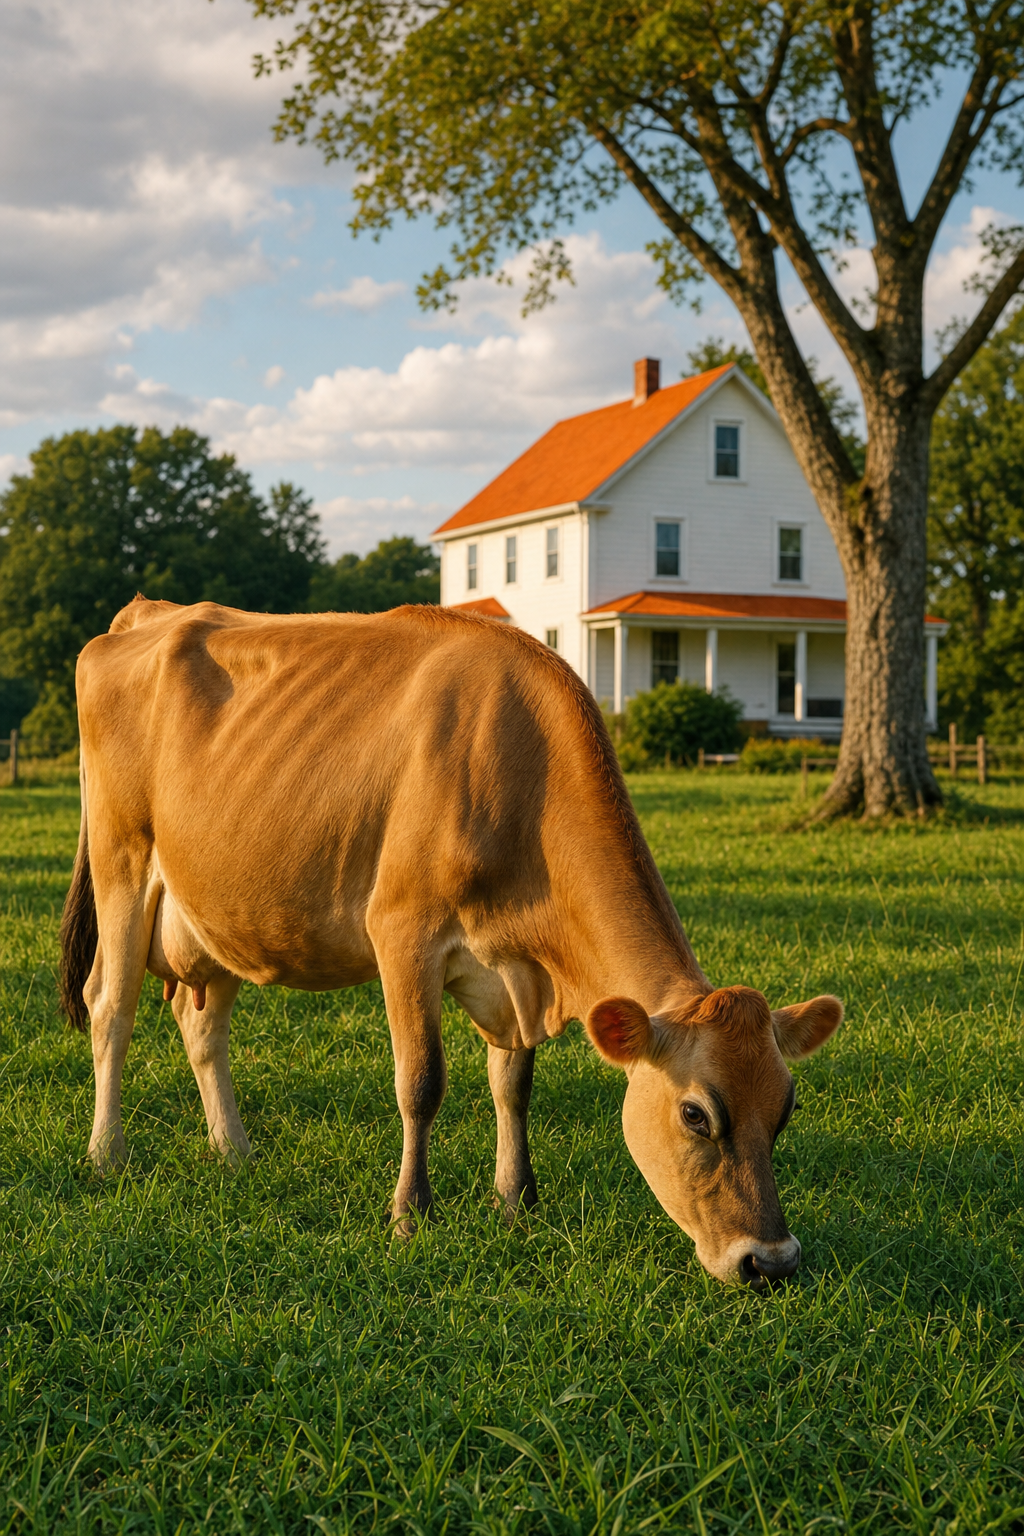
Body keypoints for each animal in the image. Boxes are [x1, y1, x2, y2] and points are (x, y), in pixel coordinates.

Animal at [60, 597, 841, 1287]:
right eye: (696, 1115)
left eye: (786, 1108)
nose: (770, 1262)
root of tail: (144, 613)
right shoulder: (404, 931)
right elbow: (421, 1082)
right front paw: (410, 1213)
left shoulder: (514, 973)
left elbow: (514, 1085)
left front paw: (516, 1201)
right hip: (122, 861)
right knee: (110, 1007)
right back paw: (106, 1154)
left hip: (220, 908)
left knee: (201, 1024)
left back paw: (235, 1153)